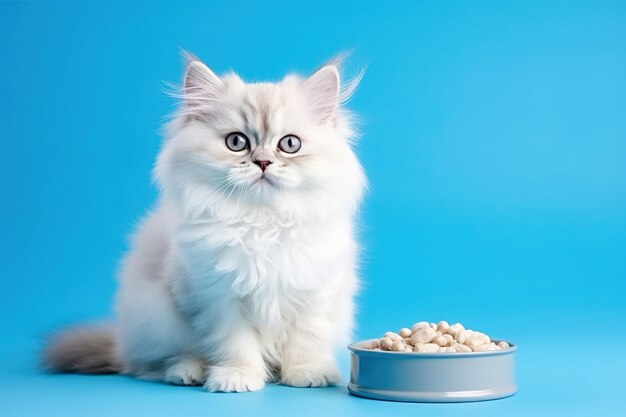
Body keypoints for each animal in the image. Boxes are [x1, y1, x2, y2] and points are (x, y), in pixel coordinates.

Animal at [42, 52, 366, 390]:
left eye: (289, 145)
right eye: (236, 142)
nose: (263, 162)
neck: (261, 222)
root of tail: (121, 346)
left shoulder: (315, 295)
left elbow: (306, 339)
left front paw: (307, 373)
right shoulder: (218, 299)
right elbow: (236, 344)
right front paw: (237, 377)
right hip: (156, 319)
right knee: (156, 364)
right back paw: (188, 372)